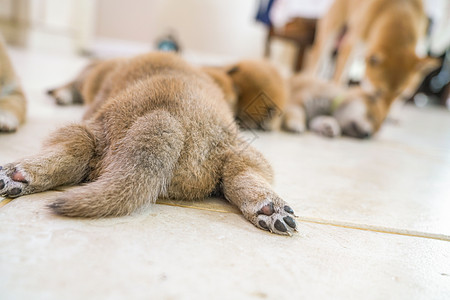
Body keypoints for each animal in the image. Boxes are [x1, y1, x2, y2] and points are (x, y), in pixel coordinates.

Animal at [0, 52, 298, 236]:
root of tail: (165, 117)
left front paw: (63, 92)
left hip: (91, 132)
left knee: (69, 153)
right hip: (237, 151)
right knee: (242, 176)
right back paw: (270, 209)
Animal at [308, 0, 438, 99]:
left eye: (401, 95)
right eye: (378, 92)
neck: (399, 10)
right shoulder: (349, 46)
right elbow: (339, 79)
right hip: (330, 34)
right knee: (317, 58)